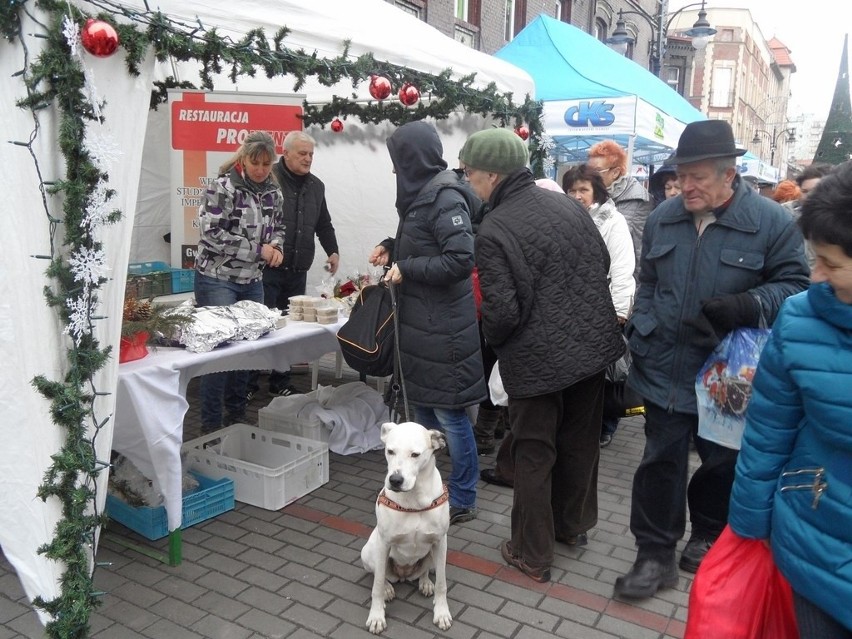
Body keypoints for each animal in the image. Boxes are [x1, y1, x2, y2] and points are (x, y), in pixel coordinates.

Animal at [360, 420, 452, 636]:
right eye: (390, 451)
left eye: (415, 454)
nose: (395, 480)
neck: (414, 500)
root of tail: (403, 575)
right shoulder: (384, 543)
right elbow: (376, 585)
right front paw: (376, 617)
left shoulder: (440, 541)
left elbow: (442, 584)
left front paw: (441, 613)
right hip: (368, 552)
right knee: (380, 573)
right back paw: (388, 588)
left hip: (434, 554)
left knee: (426, 570)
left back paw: (425, 582)